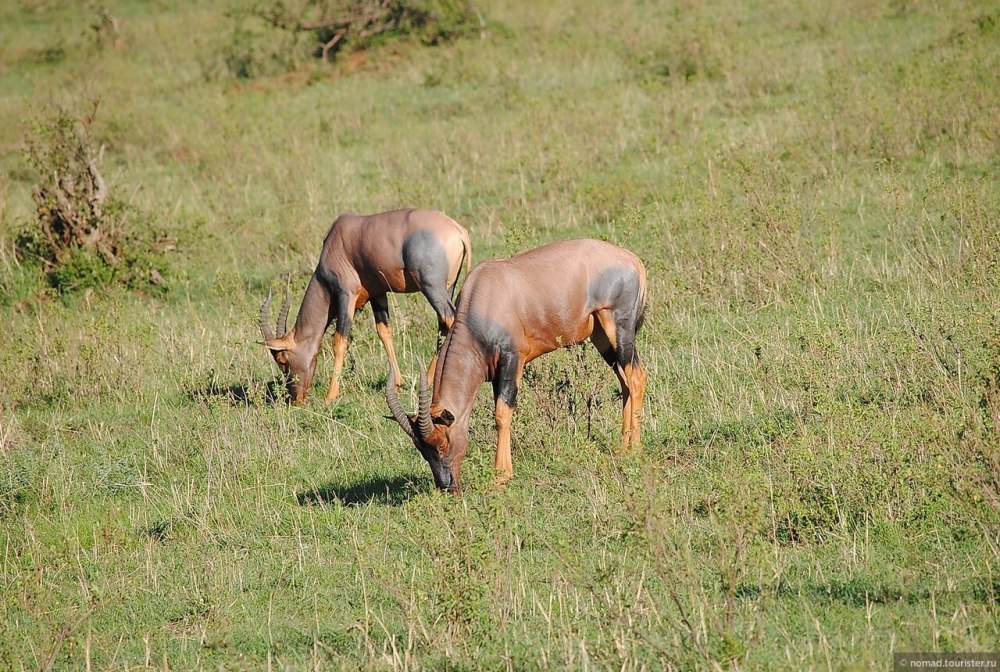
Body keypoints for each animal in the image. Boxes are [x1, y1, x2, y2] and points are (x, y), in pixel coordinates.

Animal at [262, 207, 472, 402]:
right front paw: (397, 384)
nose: (295, 399)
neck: (337, 239)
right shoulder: (378, 294)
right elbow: (384, 332)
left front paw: (330, 397)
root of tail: (458, 230)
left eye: (282, 360)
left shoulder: (346, 294)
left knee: (451, 322)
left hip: (432, 288)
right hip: (447, 288)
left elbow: (340, 341)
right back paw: (428, 381)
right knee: (442, 328)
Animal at [382, 239, 648, 490]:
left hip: (619, 326)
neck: (484, 294)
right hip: (601, 336)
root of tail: (632, 259)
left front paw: (501, 476)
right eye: (421, 449)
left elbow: (502, 413)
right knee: (624, 380)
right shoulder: (495, 372)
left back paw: (634, 448)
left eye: (442, 441)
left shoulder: (512, 359)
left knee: (636, 377)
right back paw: (623, 445)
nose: (447, 486)